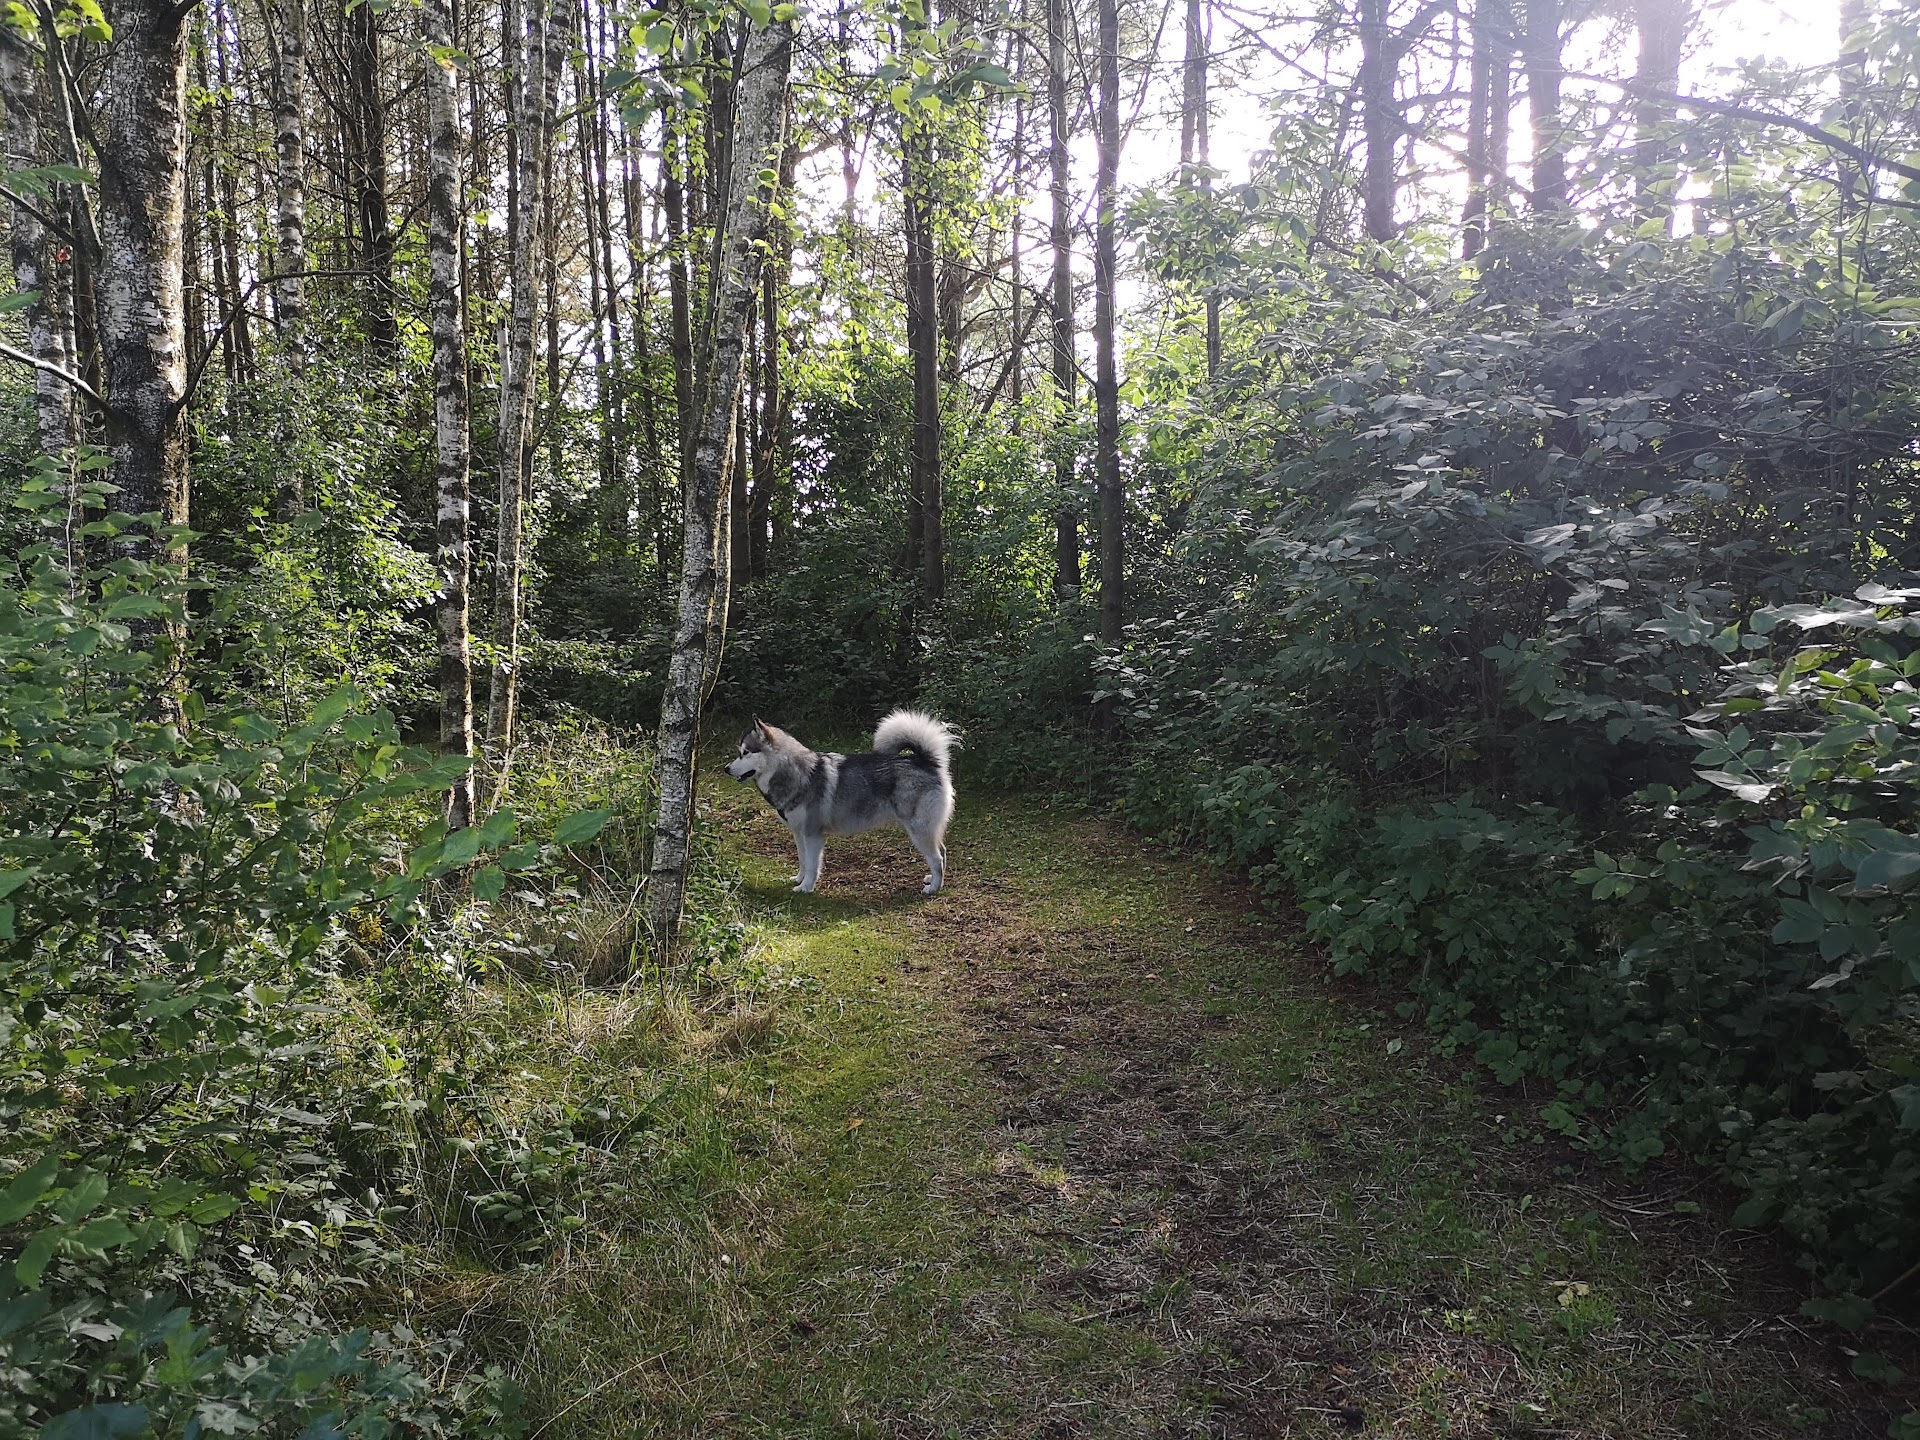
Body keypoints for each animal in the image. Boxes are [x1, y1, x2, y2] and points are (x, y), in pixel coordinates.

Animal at [725, 709, 957, 895]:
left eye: (745, 753)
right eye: (739, 753)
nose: (726, 769)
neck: (795, 773)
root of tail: (925, 761)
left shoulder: (813, 834)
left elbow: (812, 865)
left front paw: (806, 887)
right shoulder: (799, 833)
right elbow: (802, 860)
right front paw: (799, 879)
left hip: (919, 829)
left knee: (937, 858)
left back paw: (933, 887)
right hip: (926, 829)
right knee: (943, 852)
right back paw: (933, 879)